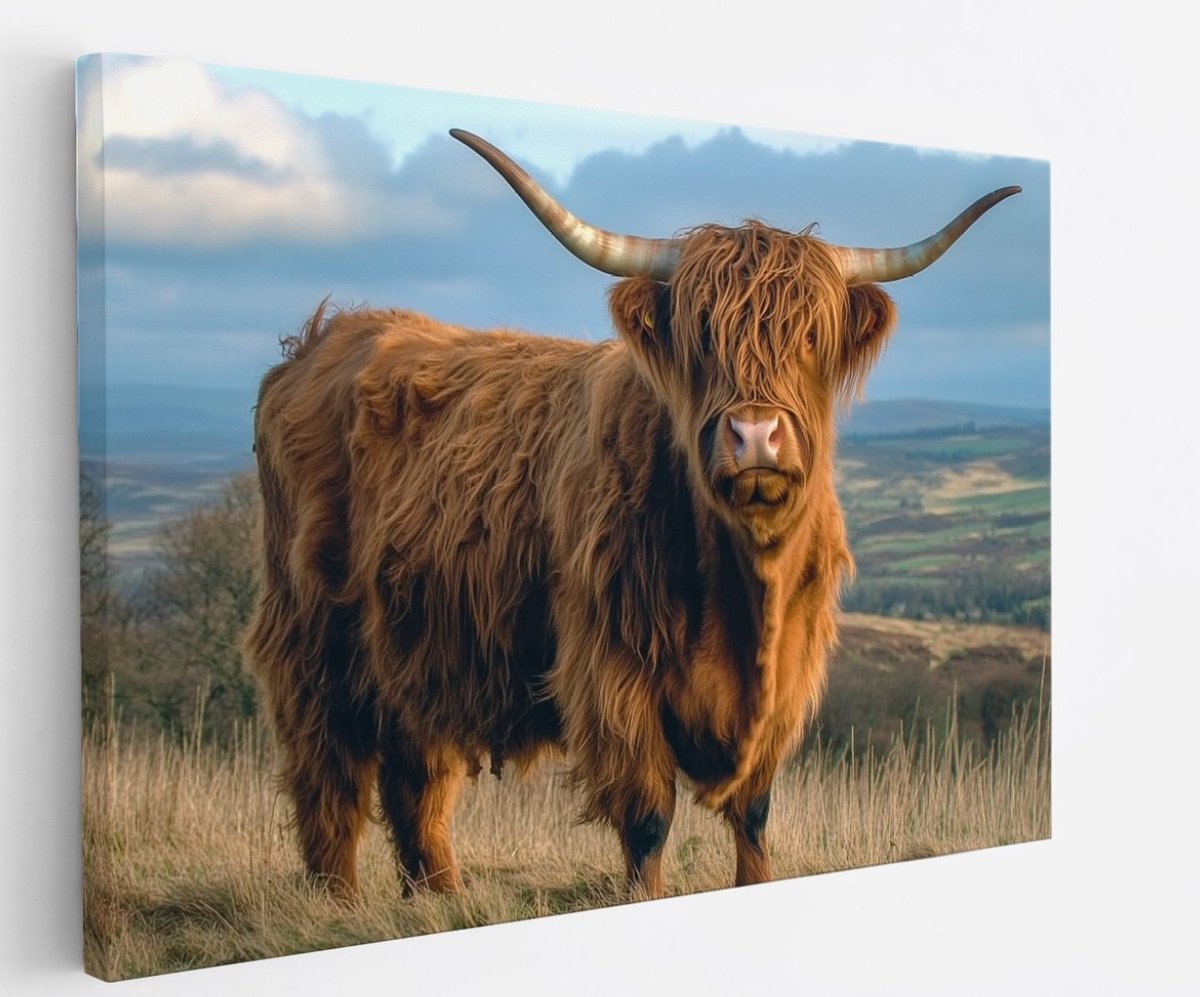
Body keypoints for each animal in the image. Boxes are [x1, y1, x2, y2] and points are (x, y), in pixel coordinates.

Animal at [243, 128, 1019, 900]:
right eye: (702, 337)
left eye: (808, 337)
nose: (756, 435)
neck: (744, 589)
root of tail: (323, 338)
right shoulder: (614, 675)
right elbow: (648, 817)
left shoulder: (787, 683)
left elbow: (754, 813)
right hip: (313, 638)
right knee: (331, 775)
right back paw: (338, 901)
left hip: (419, 646)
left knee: (416, 777)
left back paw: (440, 895)